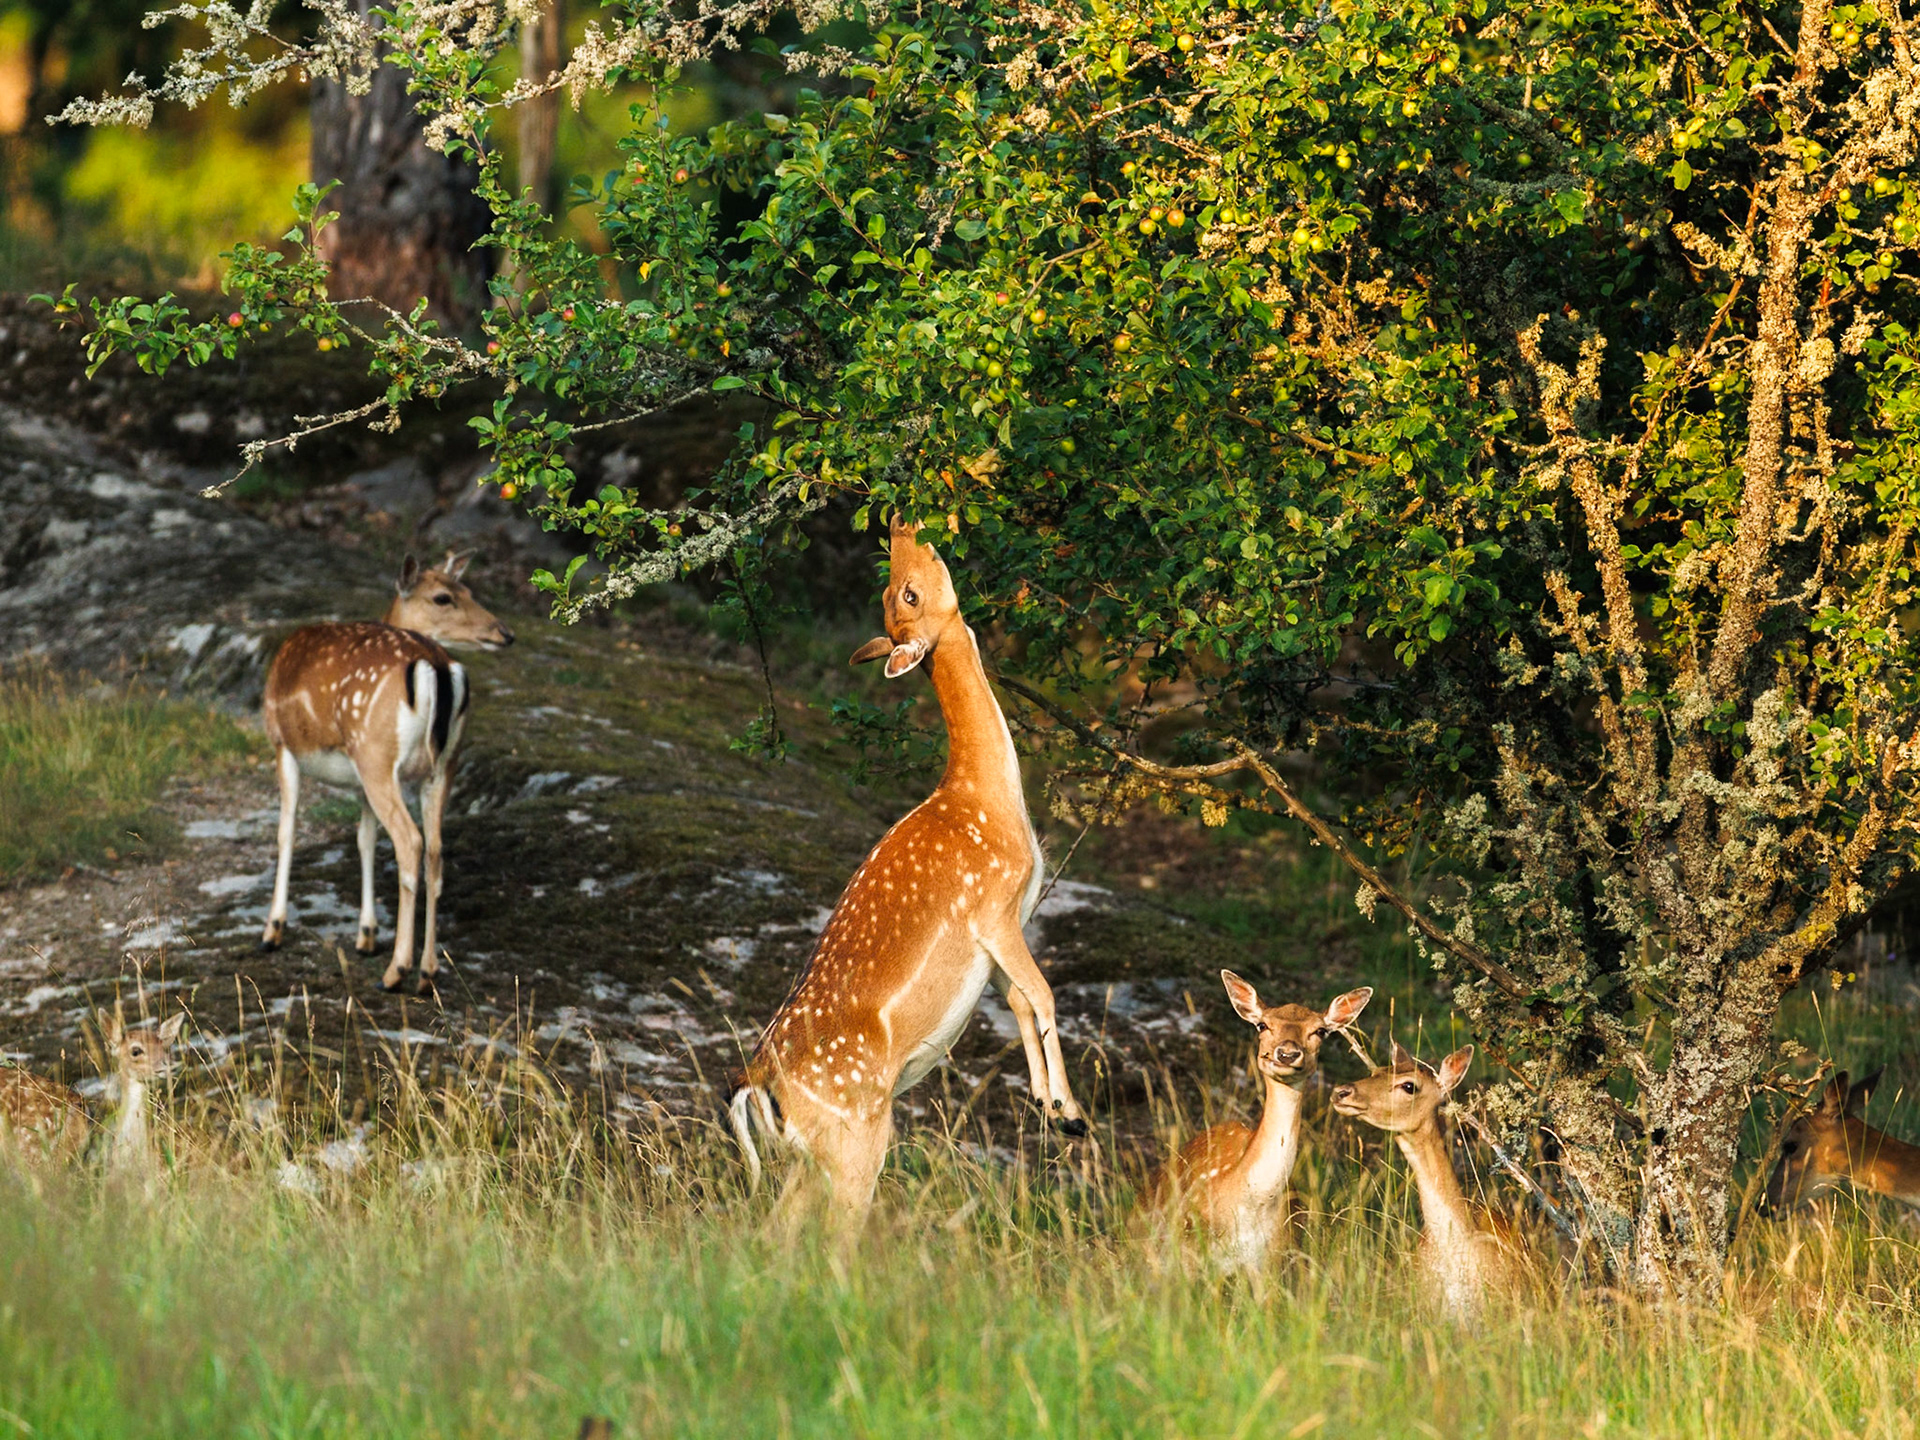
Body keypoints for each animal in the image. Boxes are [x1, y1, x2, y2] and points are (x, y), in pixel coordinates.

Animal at [260, 552, 513, 993]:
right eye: (446, 596)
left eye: (467, 591)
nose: (504, 632)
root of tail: (437, 667)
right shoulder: (358, 779)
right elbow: (364, 840)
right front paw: (366, 935)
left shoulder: (283, 744)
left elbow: (286, 832)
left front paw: (272, 931)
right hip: (440, 764)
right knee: (435, 851)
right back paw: (427, 972)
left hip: (376, 752)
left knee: (410, 843)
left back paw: (396, 971)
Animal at [727, 519, 1088, 1226]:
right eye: (908, 592)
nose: (900, 524)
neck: (986, 798)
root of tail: (758, 1086)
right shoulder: (993, 905)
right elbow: (1044, 994)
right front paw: (1068, 1110)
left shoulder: (1006, 926)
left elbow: (1019, 1000)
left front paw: (1051, 1106)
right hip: (860, 1134)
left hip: (814, 1155)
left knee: (781, 1228)